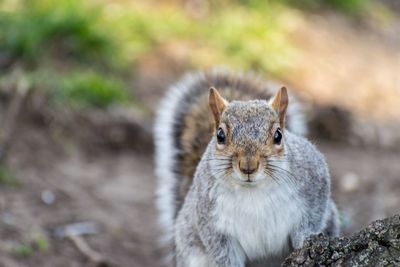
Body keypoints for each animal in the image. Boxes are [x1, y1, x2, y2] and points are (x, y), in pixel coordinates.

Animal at [153, 70, 338, 266]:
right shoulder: (212, 223)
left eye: (278, 135)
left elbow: (310, 223)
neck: (253, 190)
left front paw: (304, 242)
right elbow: (222, 253)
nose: (248, 166)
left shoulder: (315, 185)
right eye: (220, 135)